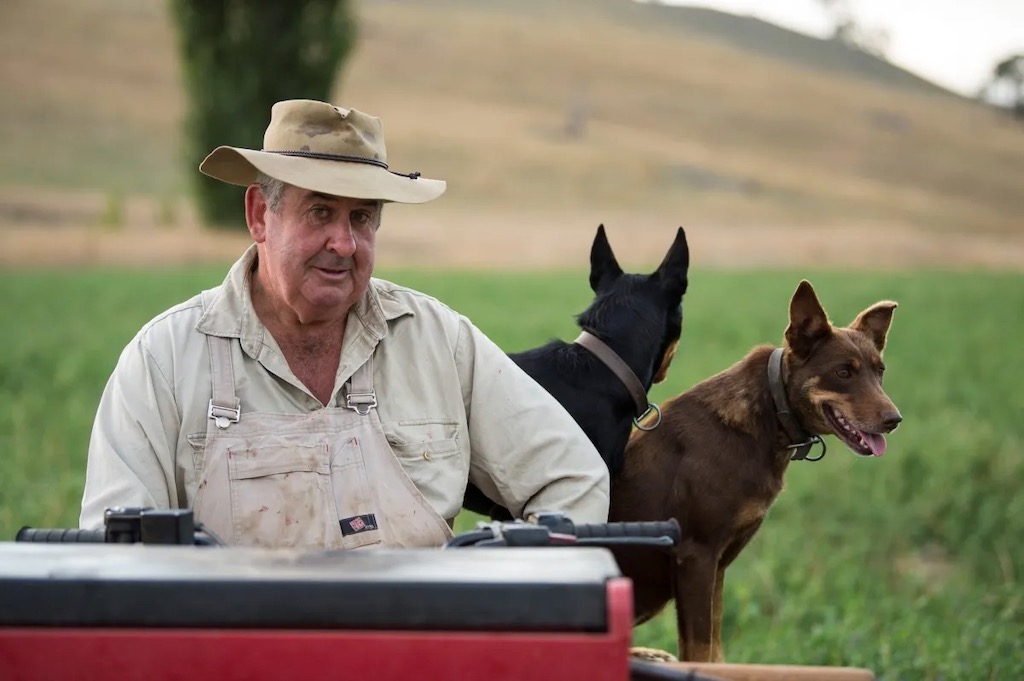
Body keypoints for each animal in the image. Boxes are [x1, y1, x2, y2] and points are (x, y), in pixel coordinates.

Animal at [606, 278, 905, 659]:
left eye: (880, 372)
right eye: (843, 372)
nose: (894, 420)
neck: (772, 412)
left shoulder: (717, 564)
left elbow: (714, 647)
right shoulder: (696, 555)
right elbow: (701, 649)